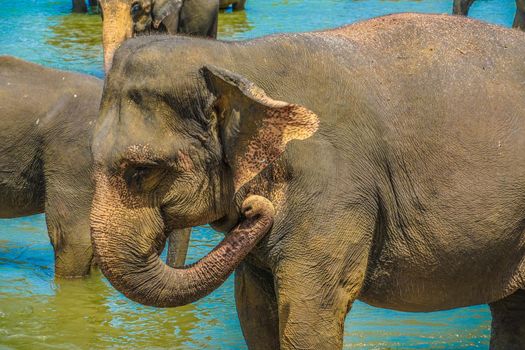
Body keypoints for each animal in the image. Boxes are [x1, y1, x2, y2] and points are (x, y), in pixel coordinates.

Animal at [89, 13, 524, 350]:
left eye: (142, 170)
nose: (253, 208)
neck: (234, 57)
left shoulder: (333, 188)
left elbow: (312, 310)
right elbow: (254, 312)